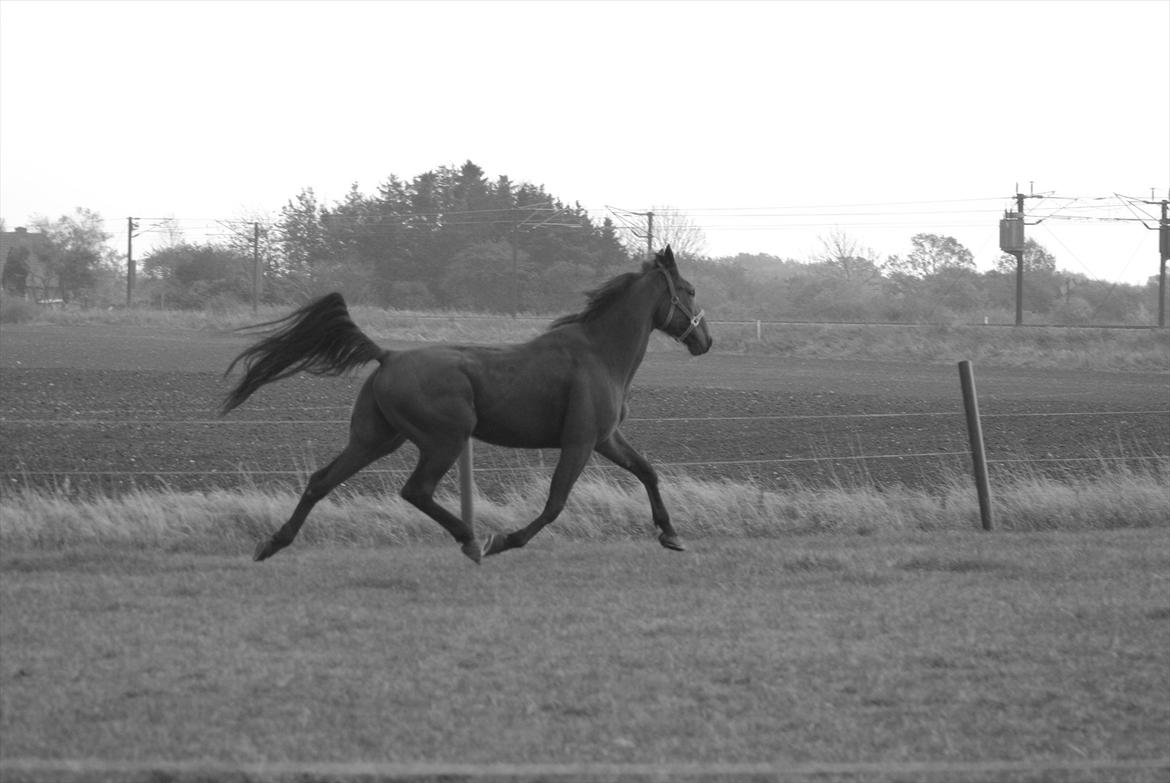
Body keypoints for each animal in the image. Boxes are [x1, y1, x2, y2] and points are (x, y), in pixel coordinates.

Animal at [219, 244, 711, 561]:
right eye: (688, 290)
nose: (706, 341)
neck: (599, 353)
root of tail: (389, 354)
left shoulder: (606, 438)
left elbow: (647, 472)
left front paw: (671, 536)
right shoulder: (581, 442)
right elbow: (554, 503)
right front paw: (505, 541)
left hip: (377, 439)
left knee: (322, 480)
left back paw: (272, 544)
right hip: (444, 440)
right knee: (415, 490)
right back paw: (472, 541)